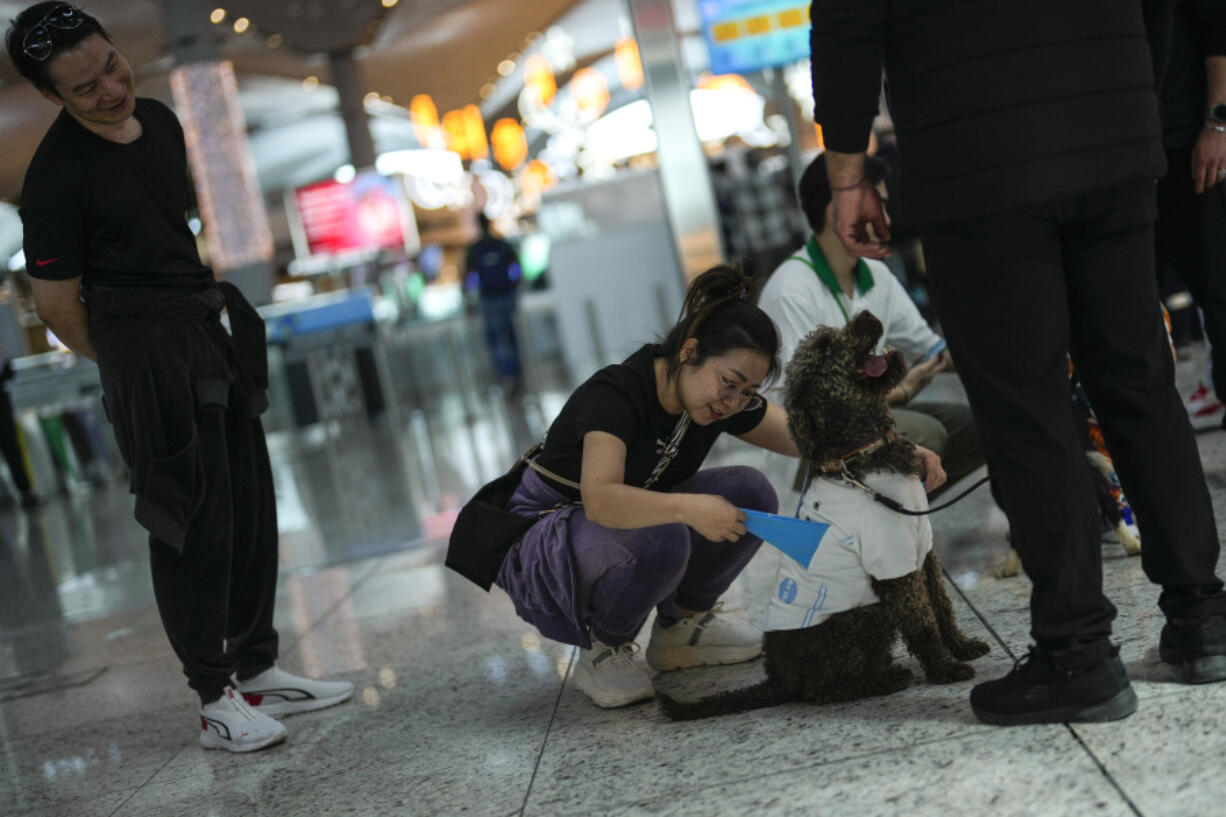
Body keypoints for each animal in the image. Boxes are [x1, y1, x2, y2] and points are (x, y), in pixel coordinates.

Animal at [657, 309, 990, 716]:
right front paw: (945, 668)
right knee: (825, 690)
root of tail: (777, 678)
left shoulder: (922, 548)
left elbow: (941, 606)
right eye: (827, 348)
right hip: (864, 616)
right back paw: (885, 680)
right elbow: (922, 621)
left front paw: (962, 646)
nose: (865, 314)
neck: (863, 451)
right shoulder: (893, 564)